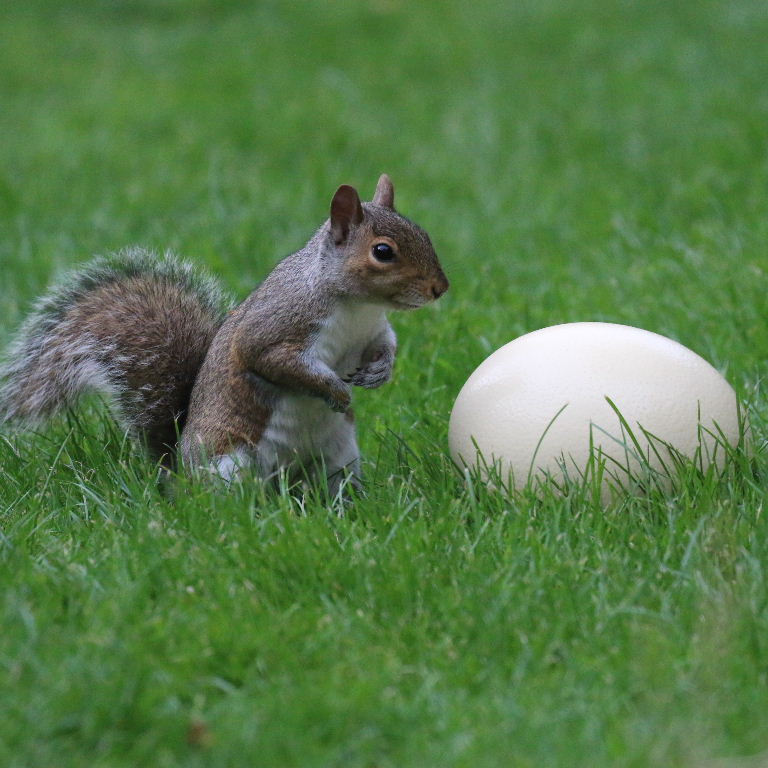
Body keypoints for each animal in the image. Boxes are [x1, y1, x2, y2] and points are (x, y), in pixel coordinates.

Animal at [0, 174, 449, 492]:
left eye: (425, 234)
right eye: (383, 252)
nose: (440, 288)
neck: (358, 307)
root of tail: (177, 473)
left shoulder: (374, 330)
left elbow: (385, 346)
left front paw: (380, 373)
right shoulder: (275, 328)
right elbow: (277, 361)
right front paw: (336, 390)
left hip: (339, 458)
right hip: (231, 464)